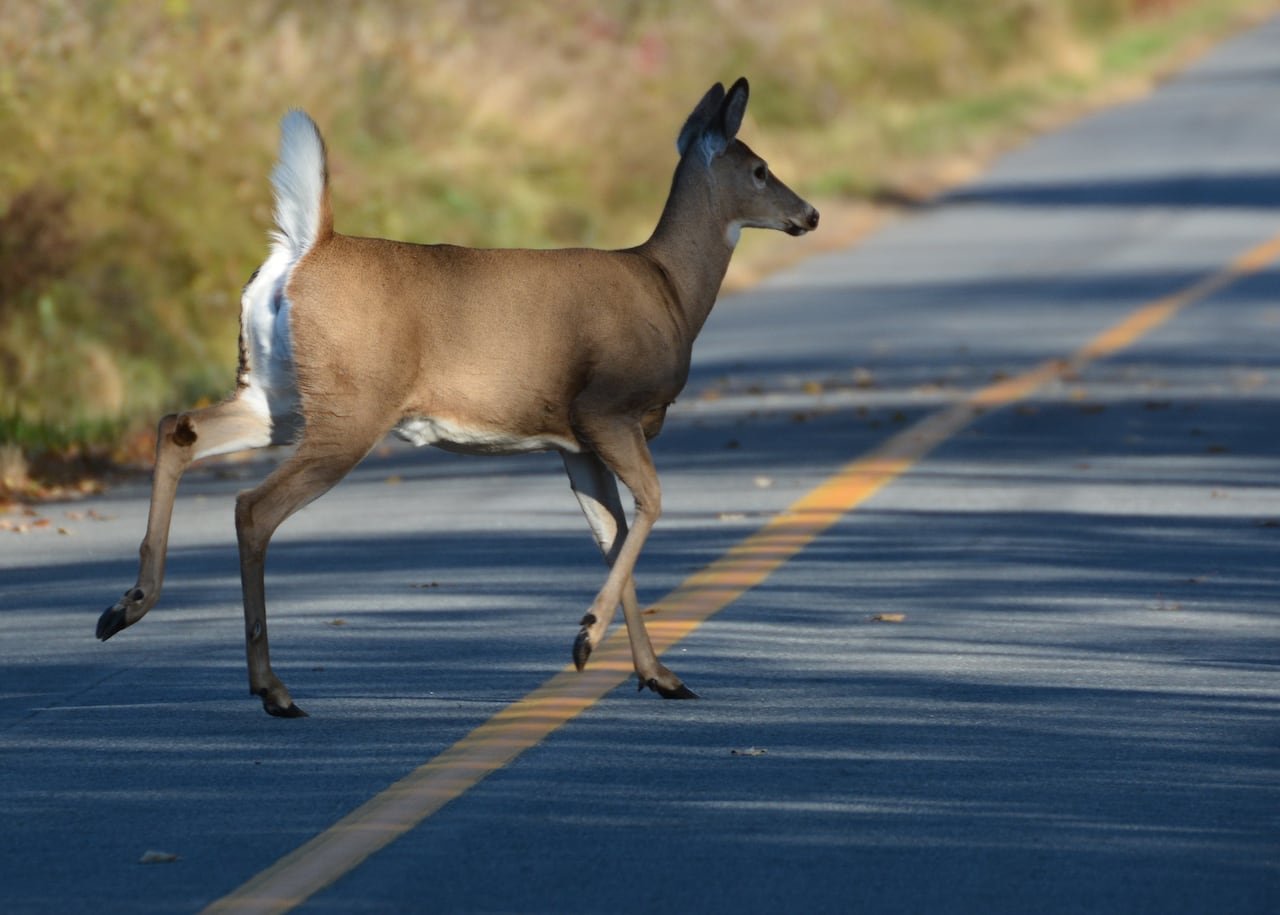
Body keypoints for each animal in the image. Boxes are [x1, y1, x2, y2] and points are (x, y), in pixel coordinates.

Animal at [96, 78, 819, 717]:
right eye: (759, 169)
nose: (808, 213)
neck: (669, 288)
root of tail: (306, 249)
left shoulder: (574, 441)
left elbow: (611, 535)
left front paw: (657, 674)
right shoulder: (606, 407)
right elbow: (651, 506)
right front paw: (587, 640)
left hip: (277, 396)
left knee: (178, 426)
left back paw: (125, 607)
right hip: (350, 408)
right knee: (253, 507)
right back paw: (271, 689)